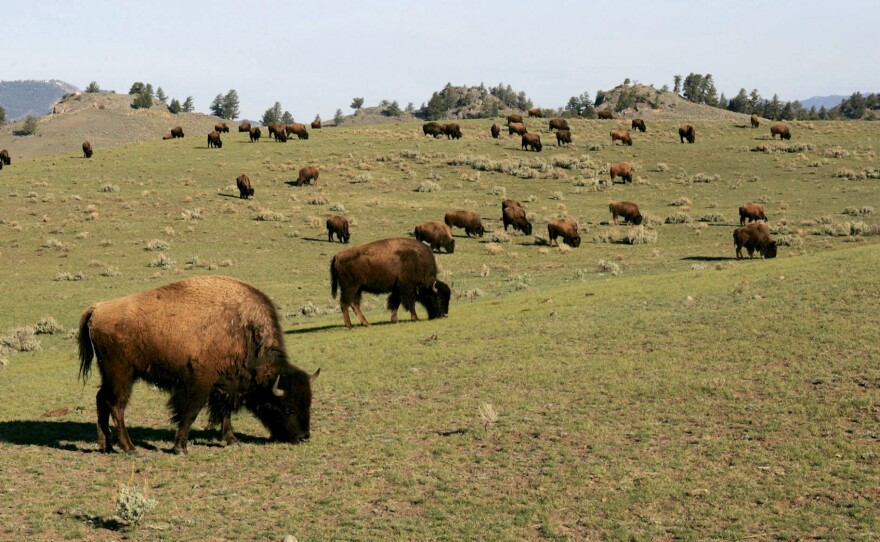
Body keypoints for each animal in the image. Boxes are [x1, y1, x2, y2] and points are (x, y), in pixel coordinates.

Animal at [77, 275, 319, 454]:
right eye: (287, 408)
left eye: (308, 403)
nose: (304, 437)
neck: (241, 330)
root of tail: (97, 309)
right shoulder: (200, 383)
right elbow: (190, 412)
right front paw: (180, 448)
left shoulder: (224, 386)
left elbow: (224, 413)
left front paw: (233, 441)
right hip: (122, 374)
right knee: (116, 405)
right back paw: (130, 449)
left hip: (109, 374)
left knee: (101, 400)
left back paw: (106, 447)